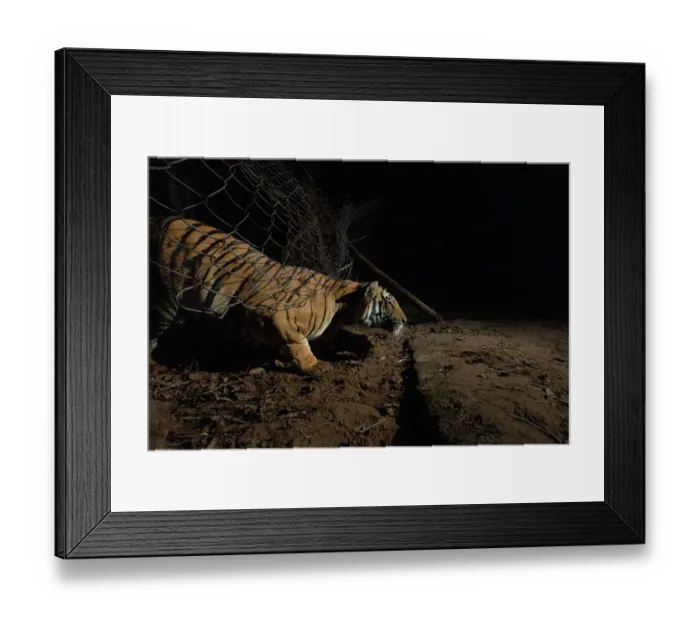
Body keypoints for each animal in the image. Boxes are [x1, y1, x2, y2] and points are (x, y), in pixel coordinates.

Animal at [149, 216, 408, 376]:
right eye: (388, 302)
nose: (405, 320)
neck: (342, 308)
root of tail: (160, 220)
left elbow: (345, 338)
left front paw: (364, 347)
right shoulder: (276, 316)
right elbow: (299, 343)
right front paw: (316, 366)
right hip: (165, 298)